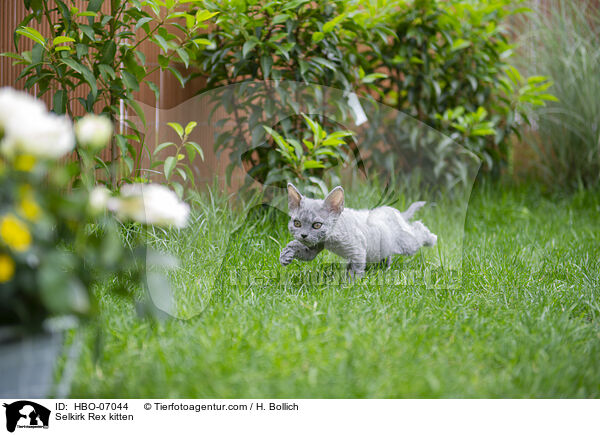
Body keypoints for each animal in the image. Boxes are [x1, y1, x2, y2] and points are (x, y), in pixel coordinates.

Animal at [278, 182, 438, 278]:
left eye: (317, 225)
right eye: (297, 223)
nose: (303, 235)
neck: (330, 239)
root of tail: (392, 210)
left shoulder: (358, 249)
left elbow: (356, 269)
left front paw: (349, 286)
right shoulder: (314, 246)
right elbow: (300, 249)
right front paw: (286, 255)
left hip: (407, 243)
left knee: (418, 228)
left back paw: (432, 238)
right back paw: (384, 268)